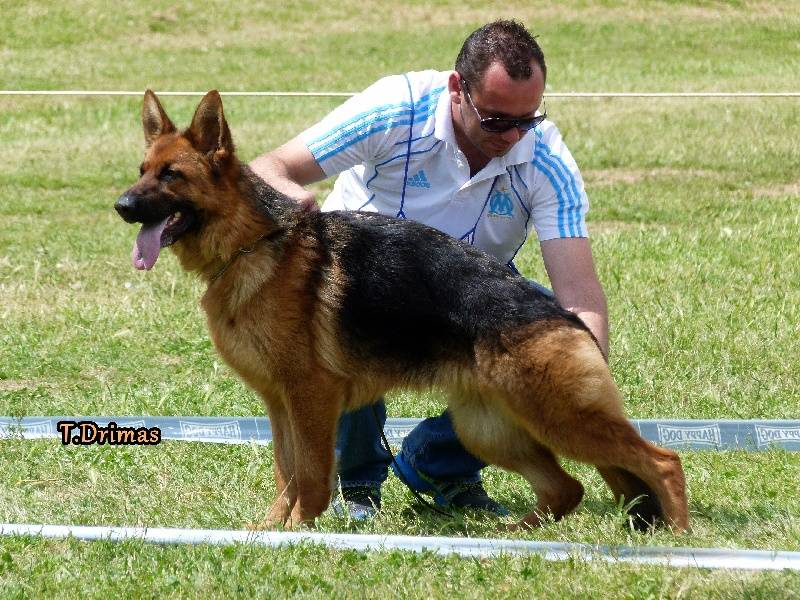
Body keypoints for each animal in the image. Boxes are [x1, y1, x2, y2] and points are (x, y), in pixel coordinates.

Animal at [115, 89, 692, 528]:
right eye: (141, 170)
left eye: (171, 176)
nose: (120, 206)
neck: (251, 245)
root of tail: (566, 317)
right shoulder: (280, 405)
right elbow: (287, 473)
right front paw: (270, 530)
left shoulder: (310, 399)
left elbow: (311, 475)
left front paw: (299, 530)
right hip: (491, 429)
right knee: (566, 488)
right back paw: (509, 533)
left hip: (559, 417)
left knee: (662, 461)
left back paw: (678, 537)